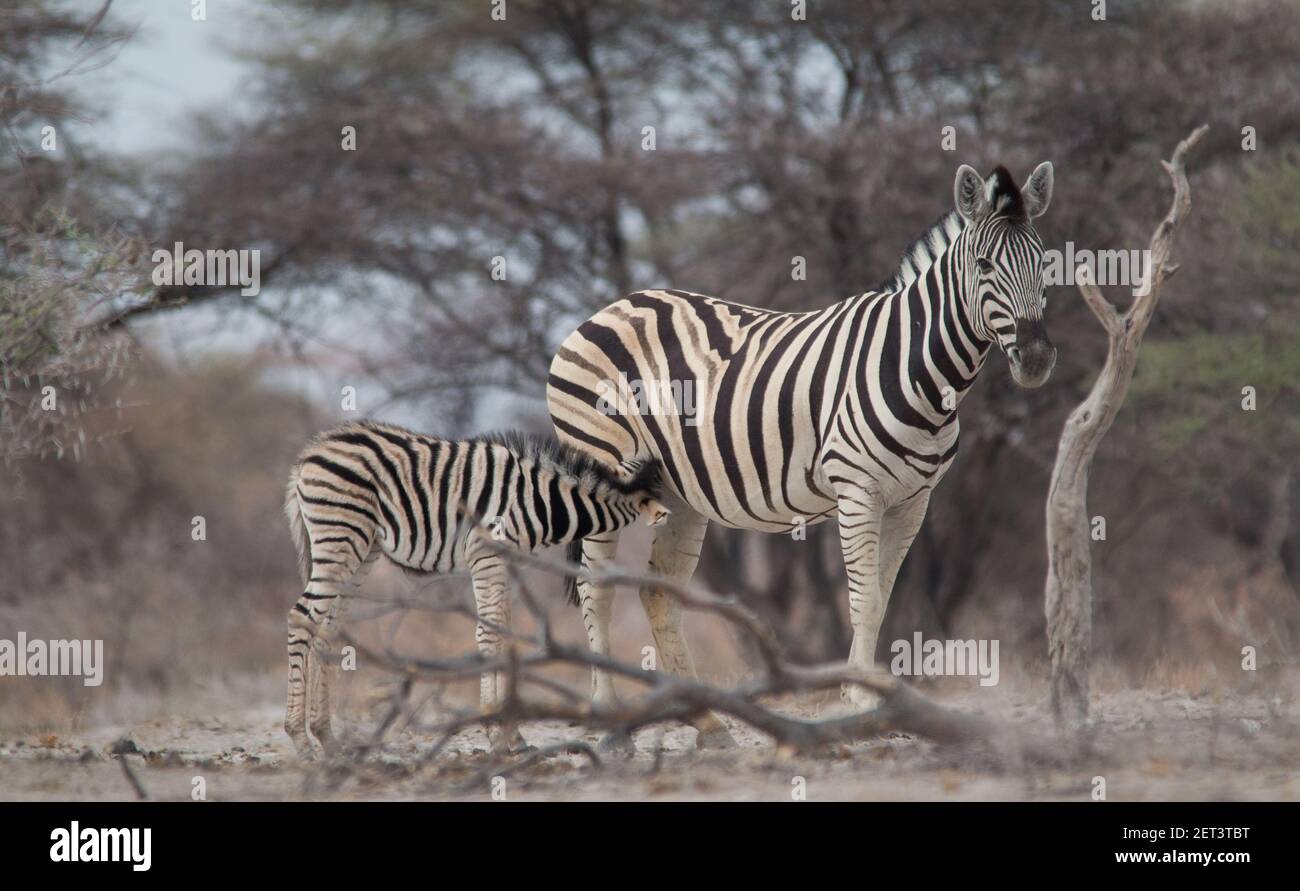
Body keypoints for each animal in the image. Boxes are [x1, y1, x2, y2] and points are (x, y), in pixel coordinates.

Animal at [284, 421, 670, 754]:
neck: (541, 500)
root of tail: (308, 454)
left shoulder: (509, 564)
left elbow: (504, 634)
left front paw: (513, 736)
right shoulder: (487, 555)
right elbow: (489, 635)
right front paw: (496, 735)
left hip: (361, 551)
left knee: (325, 629)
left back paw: (326, 738)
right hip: (340, 536)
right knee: (300, 618)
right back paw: (299, 740)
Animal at [546, 159, 1055, 744]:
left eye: (1044, 261)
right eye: (985, 264)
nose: (1036, 359)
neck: (917, 367)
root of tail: (609, 308)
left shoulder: (914, 500)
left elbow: (882, 600)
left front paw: (871, 703)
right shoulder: (858, 491)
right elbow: (864, 601)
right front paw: (861, 703)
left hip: (678, 491)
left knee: (658, 593)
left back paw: (709, 722)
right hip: (602, 468)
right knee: (596, 588)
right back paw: (611, 721)